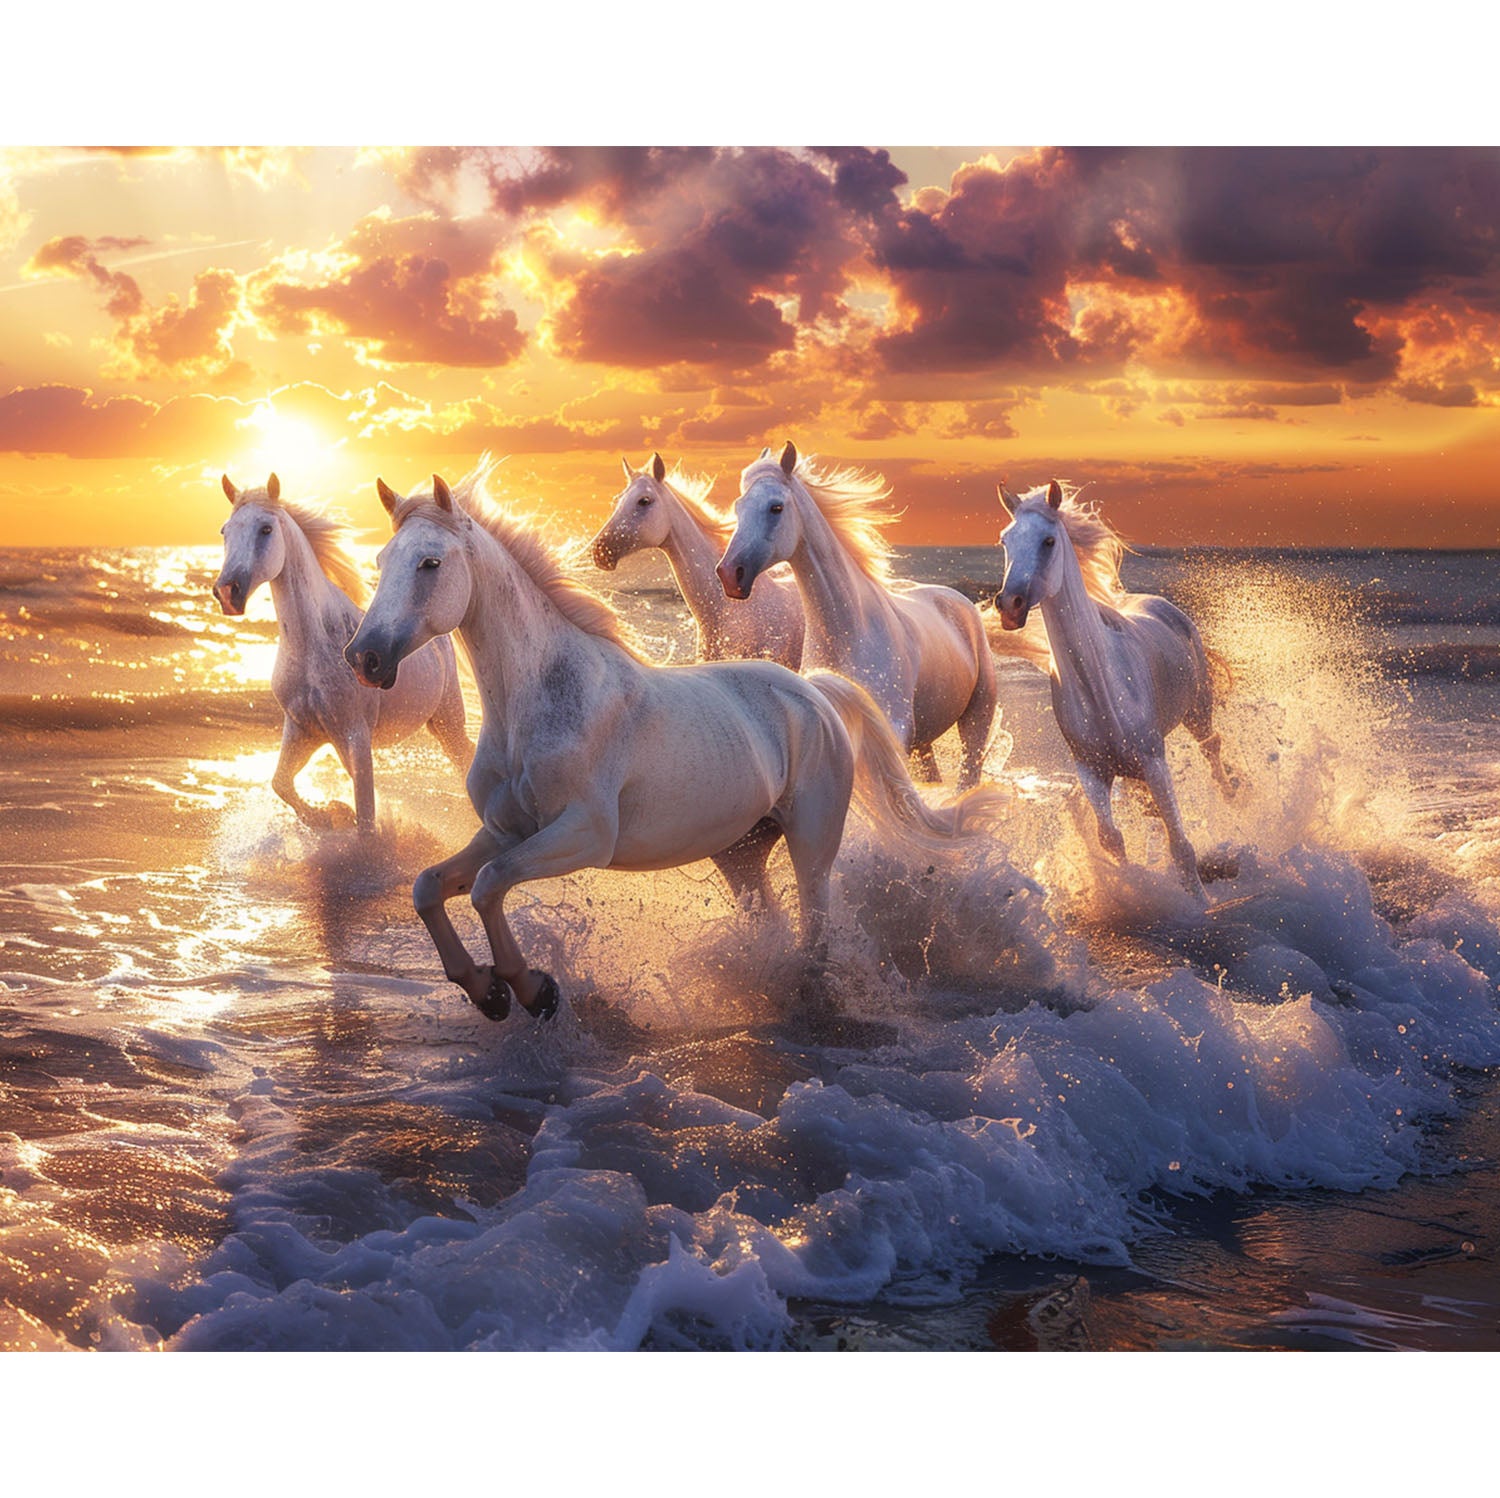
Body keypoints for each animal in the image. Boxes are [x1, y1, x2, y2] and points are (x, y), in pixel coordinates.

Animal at [213, 472, 472, 833]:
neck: (314, 647)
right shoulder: (303, 730)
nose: (226, 592)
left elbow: (366, 821)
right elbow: (281, 783)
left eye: (265, 529)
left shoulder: (354, 736)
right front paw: (330, 814)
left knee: (465, 758)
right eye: (225, 531)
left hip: (447, 720)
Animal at [717, 442, 1010, 791]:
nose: (729, 574)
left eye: (776, 507)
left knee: (969, 772)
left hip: (975, 721)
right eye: (738, 507)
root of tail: (962, 602)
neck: (851, 633)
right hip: (923, 743)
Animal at [995, 479, 1237, 900]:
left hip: (1198, 712)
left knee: (1212, 751)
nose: (1009, 605)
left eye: (1048, 541)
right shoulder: (1091, 772)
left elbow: (1180, 844)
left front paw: (1200, 904)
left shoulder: (1155, 761)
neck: (1099, 686)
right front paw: (1129, 892)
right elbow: (1111, 840)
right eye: (1005, 540)